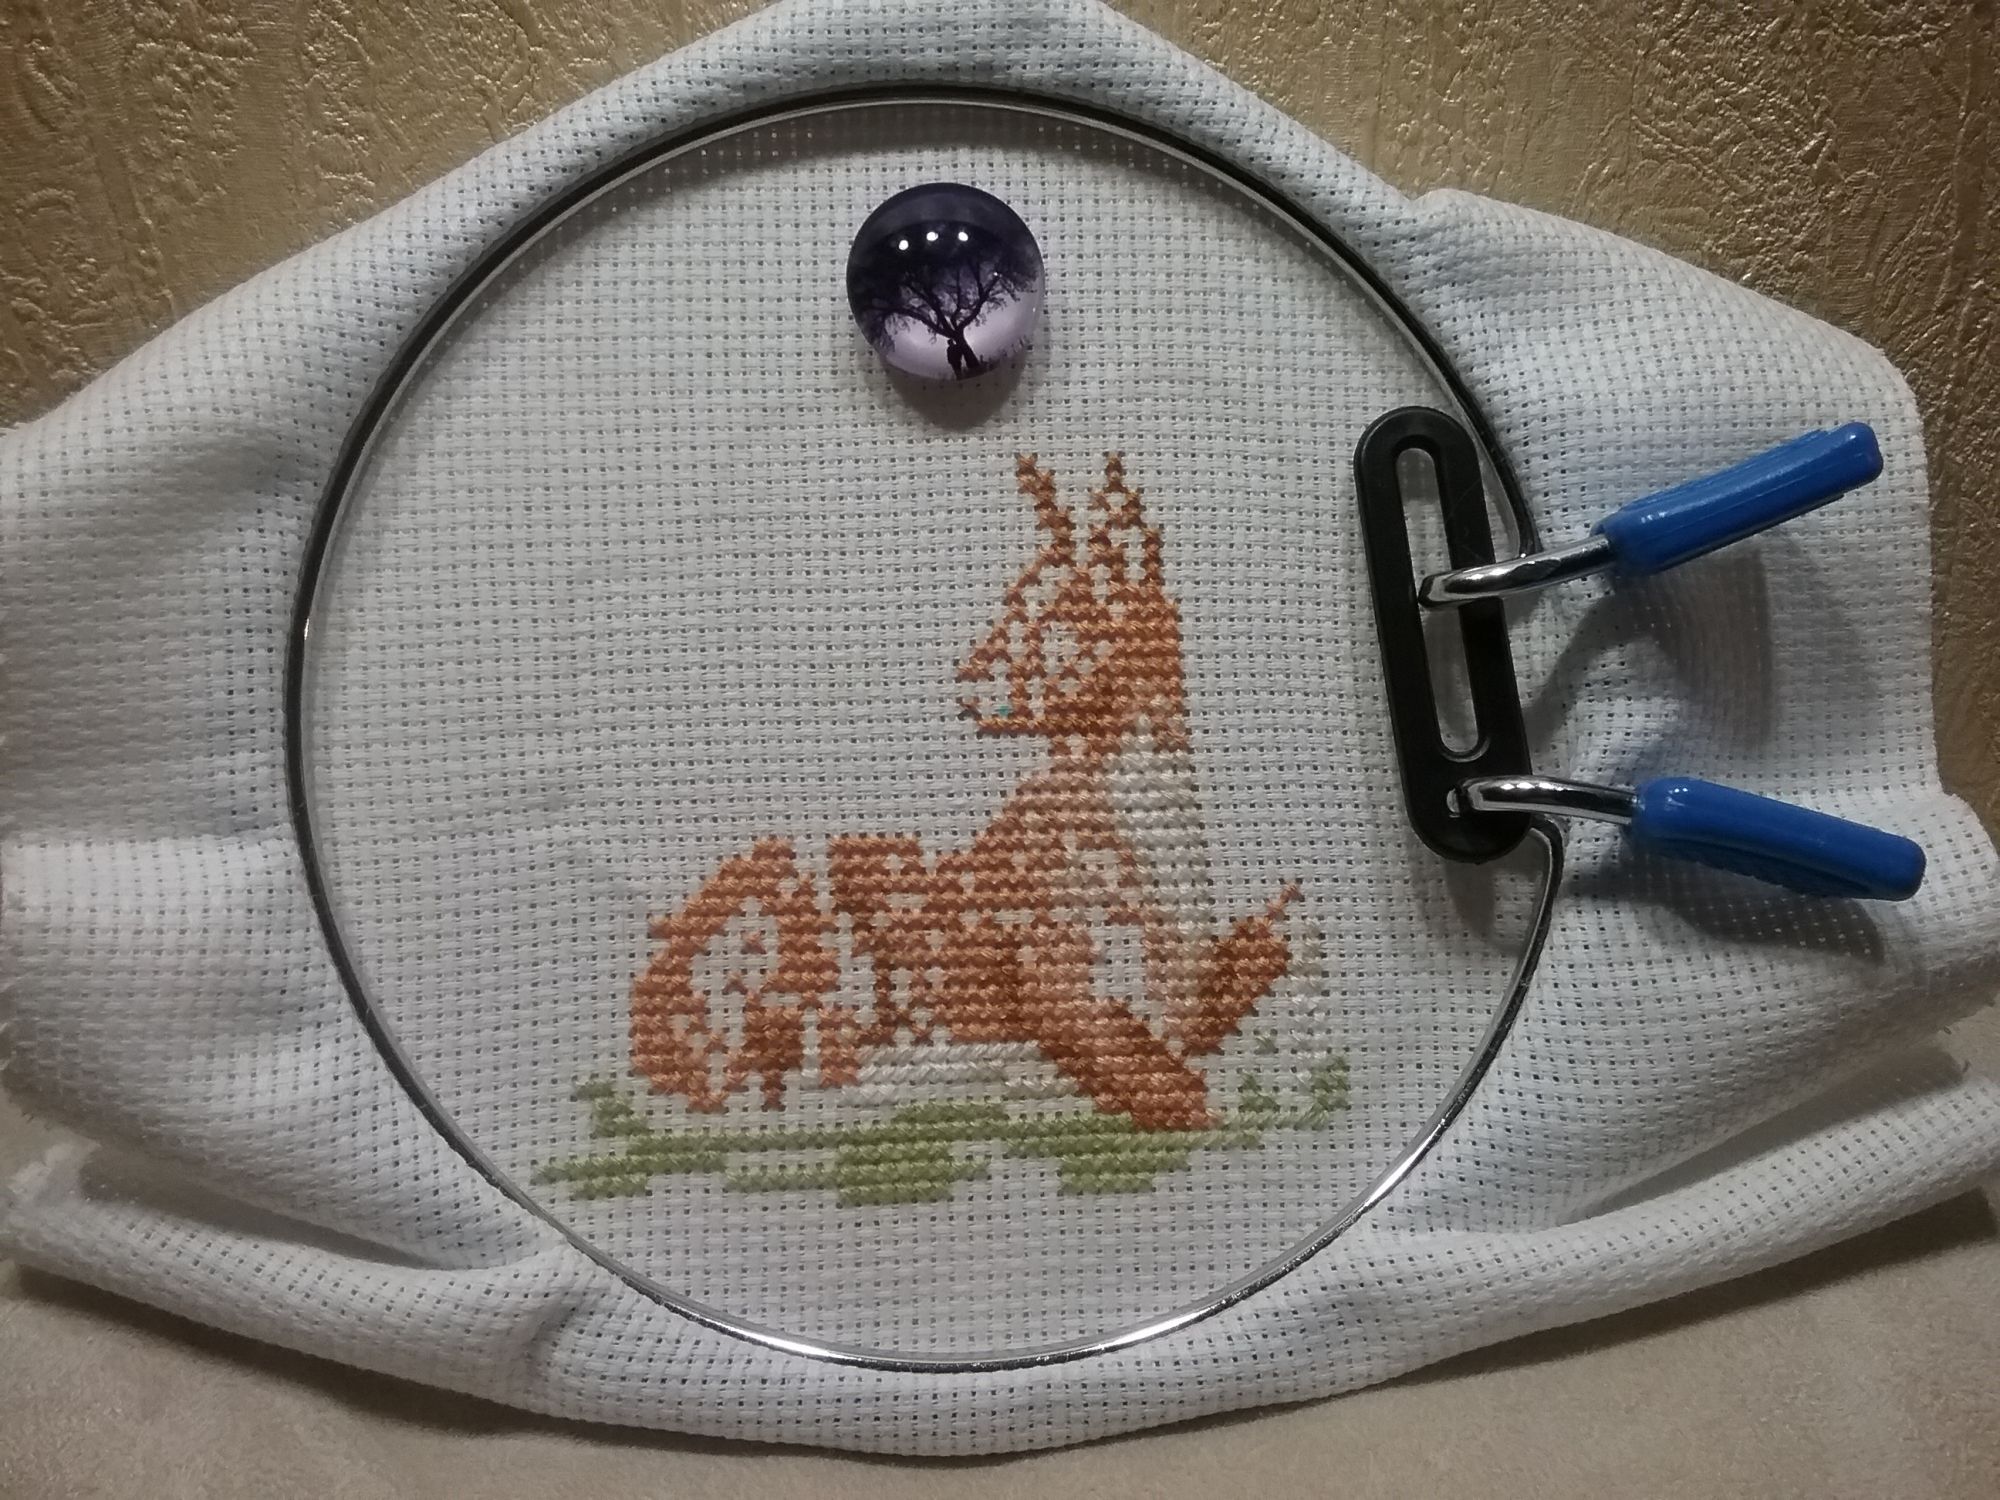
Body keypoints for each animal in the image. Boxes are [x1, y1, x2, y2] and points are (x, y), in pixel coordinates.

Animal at [630, 454, 1307, 1132]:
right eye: (1015, 597)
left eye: (1054, 617)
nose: (968, 680)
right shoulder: (1056, 980)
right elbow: (1172, 1086)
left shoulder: (1185, 982)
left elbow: (1233, 988)